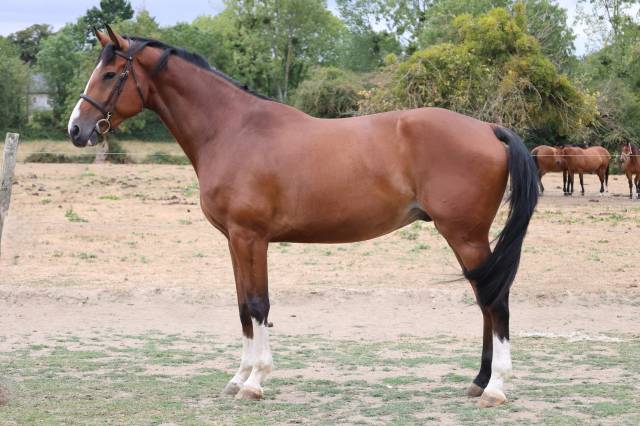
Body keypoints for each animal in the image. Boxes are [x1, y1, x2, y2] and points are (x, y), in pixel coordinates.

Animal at [67, 26, 538, 408]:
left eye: (110, 74)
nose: (76, 129)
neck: (233, 130)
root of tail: (488, 129)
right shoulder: (234, 241)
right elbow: (243, 306)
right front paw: (238, 377)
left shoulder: (250, 237)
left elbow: (258, 304)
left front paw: (255, 381)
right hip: (466, 239)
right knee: (484, 300)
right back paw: (478, 381)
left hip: (465, 235)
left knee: (495, 301)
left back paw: (496, 388)